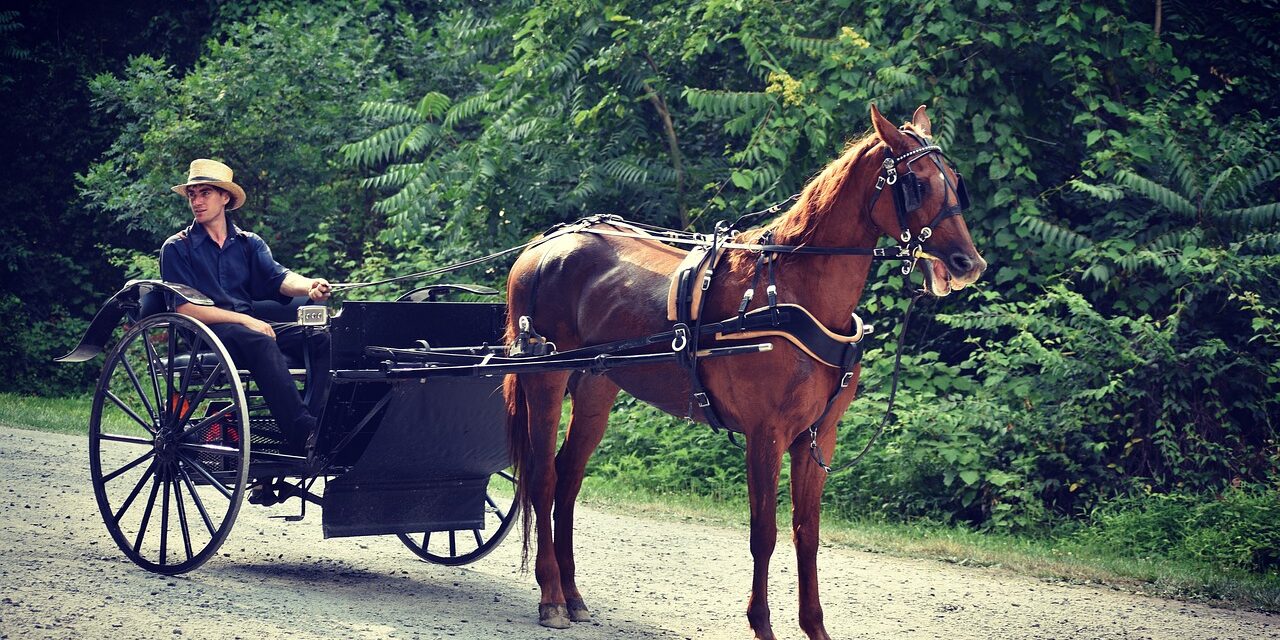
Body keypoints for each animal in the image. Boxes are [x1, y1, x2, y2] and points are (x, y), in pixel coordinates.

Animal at [502, 104, 986, 639]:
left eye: (955, 182)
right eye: (916, 184)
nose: (969, 263)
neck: (792, 293)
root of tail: (541, 246)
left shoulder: (818, 436)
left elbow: (806, 535)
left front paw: (815, 627)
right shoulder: (765, 433)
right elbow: (764, 534)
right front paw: (762, 624)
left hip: (596, 386)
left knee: (568, 477)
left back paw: (572, 594)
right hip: (545, 377)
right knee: (543, 478)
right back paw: (550, 596)